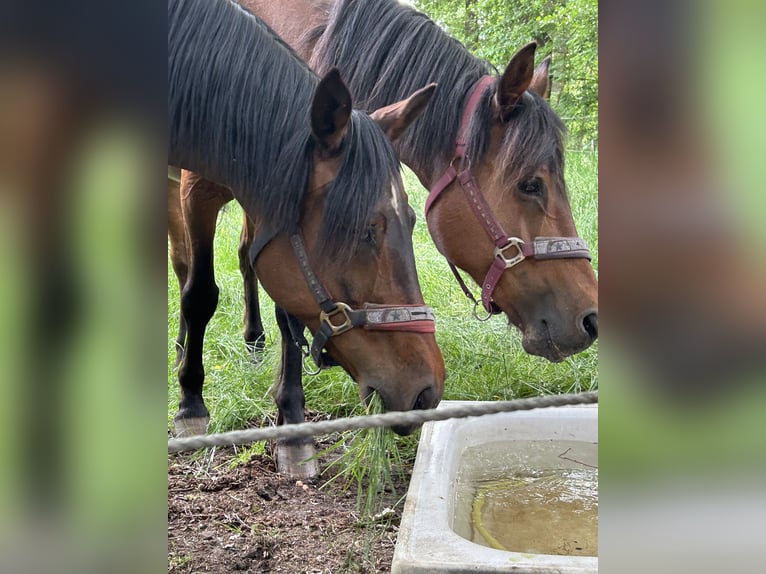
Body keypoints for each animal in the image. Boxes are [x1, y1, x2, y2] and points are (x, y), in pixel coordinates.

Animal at [168, 0, 444, 476]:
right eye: (363, 228)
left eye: (412, 221)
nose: (427, 391)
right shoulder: (195, 189)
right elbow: (199, 293)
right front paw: (191, 405)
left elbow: (286, 314)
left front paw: (293, 428)